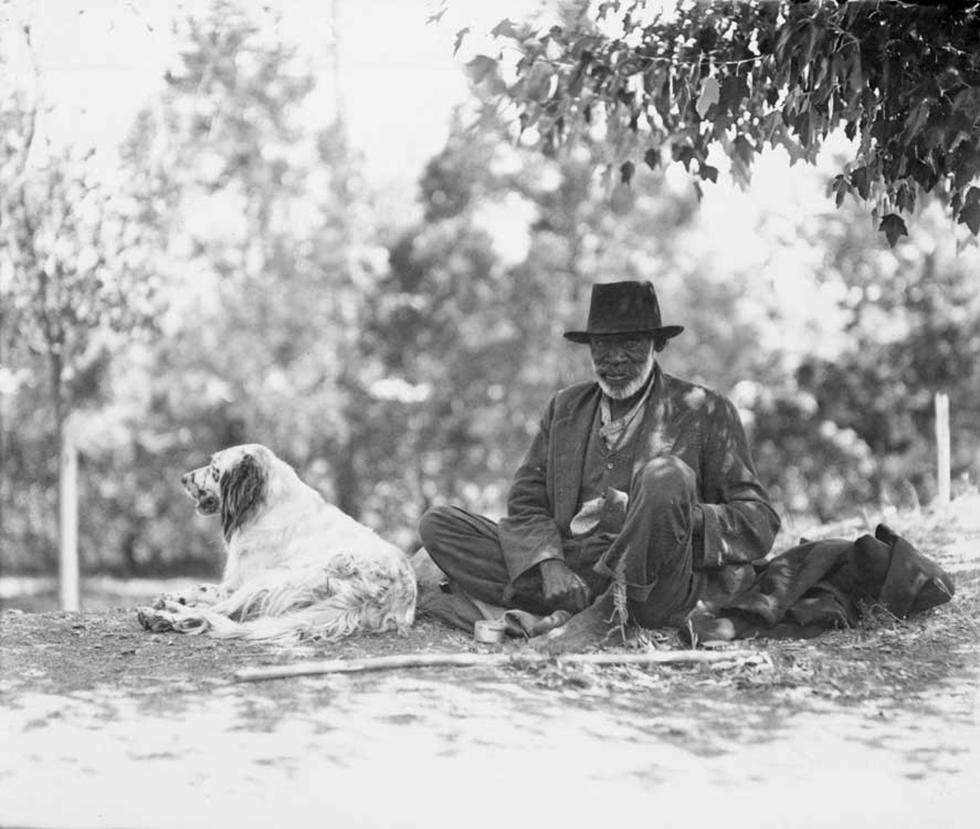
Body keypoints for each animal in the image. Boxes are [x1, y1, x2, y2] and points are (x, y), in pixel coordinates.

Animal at [136, 446, 416, 640]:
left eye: (214, 468)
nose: (183, 478)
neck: (266, 506)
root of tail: (388, 594)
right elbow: (201, 587)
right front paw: (175, 595)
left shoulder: (242, 583)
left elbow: (213, 596)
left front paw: (172, 601)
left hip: (274, 578)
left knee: (219, 613)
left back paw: (160, 615)